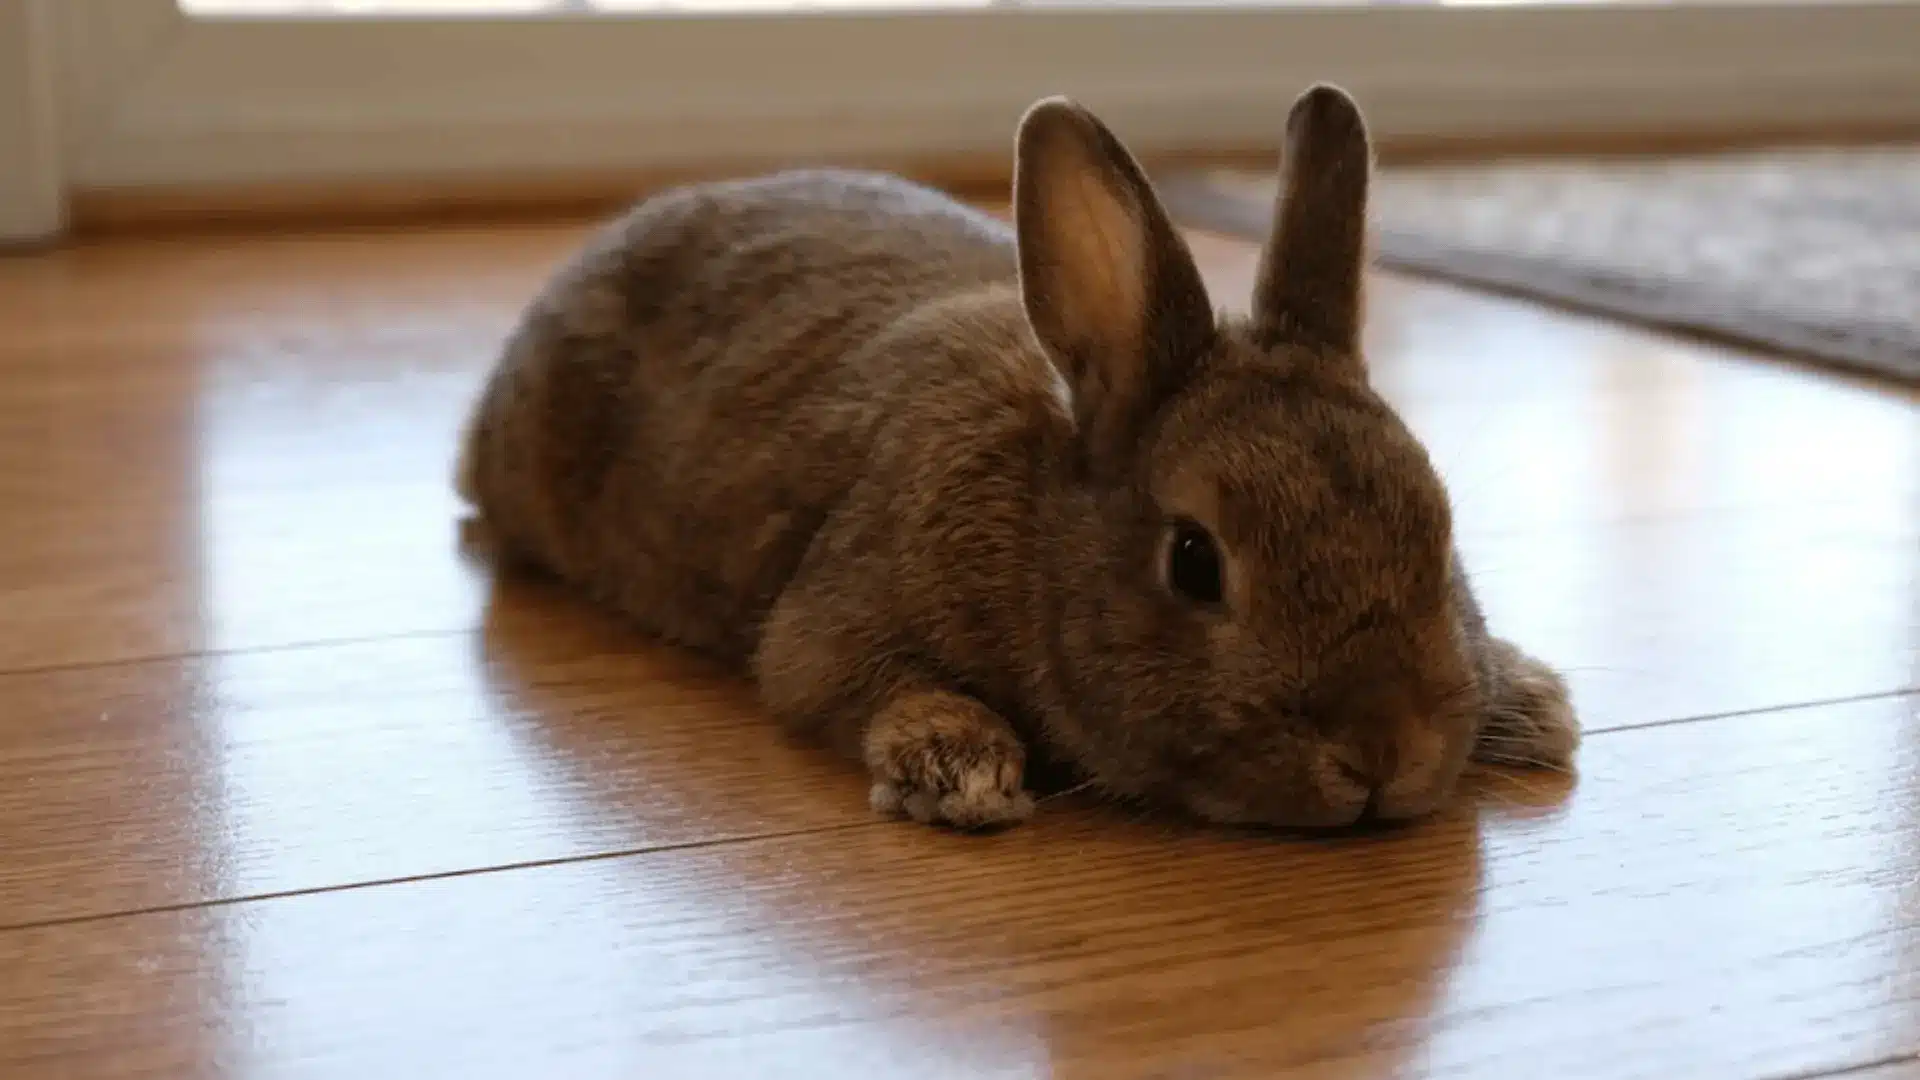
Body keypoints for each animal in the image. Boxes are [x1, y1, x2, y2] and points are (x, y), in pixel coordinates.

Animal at [455, 82, 1580, 832]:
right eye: (1195, 562)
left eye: (1438, 529)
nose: (1385, 752)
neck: (1039, 530)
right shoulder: (837, 618)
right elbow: (834, 680)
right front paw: (961, 767)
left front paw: (1533, 705)